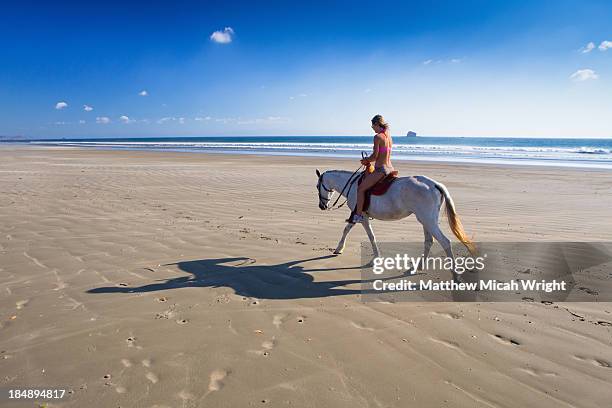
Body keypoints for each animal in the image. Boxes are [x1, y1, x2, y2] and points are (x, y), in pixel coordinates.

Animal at [318, 167, 476, 276]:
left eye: (317, 186)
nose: (322, 206)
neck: (354, 186)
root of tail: (434, 184)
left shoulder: (361, 217)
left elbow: (366, 235)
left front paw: (341, 249)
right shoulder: (361, 217)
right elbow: (357, 232)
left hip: (428, 221)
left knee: (445, 242)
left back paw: (454, 272)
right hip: (426, 221)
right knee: (429, 242)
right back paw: (417, 267)